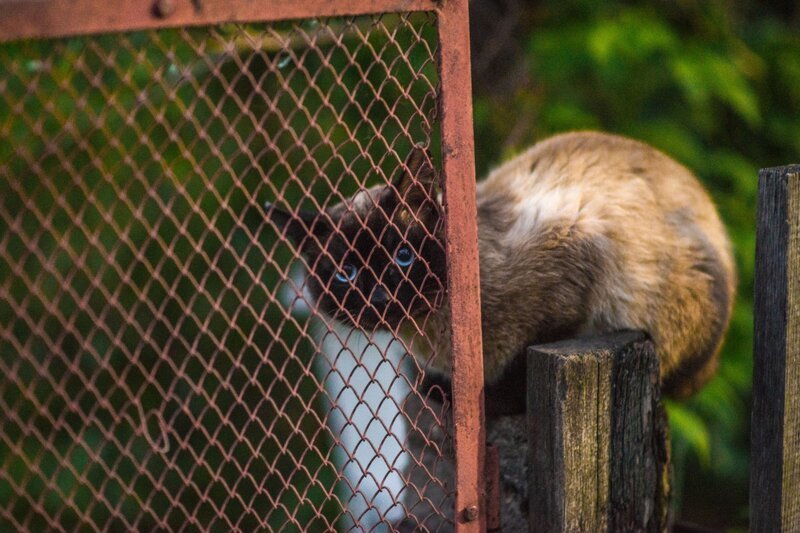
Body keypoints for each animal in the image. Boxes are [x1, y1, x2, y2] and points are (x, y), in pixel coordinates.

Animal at [268, 131, 736, 410]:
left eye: (403, 256)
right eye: (346, 272)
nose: (380, 297)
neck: (429, 335)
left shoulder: (575, 257)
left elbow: (520, 365)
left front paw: (478, 398)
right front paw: (437, 388)